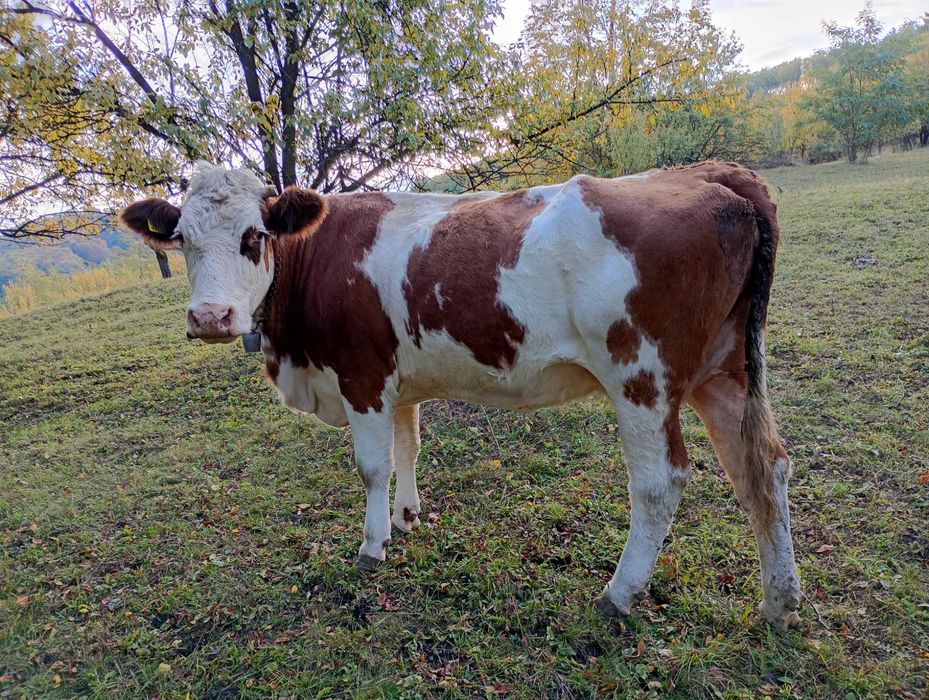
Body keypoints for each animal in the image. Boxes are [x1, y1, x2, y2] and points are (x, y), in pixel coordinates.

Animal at [119, 161, 802, 628]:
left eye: (254, 235)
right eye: (182, 239)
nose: (210, 317)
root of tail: (712, 173)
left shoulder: (361, 376)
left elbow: (371, 466)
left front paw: (372, 546)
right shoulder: (399, 383)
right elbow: (408, 449)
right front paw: (407, 517)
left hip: (643, 378)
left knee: (661, 483)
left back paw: (620, 593)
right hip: (725, 372)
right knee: (761, 468)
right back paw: (779, 599)